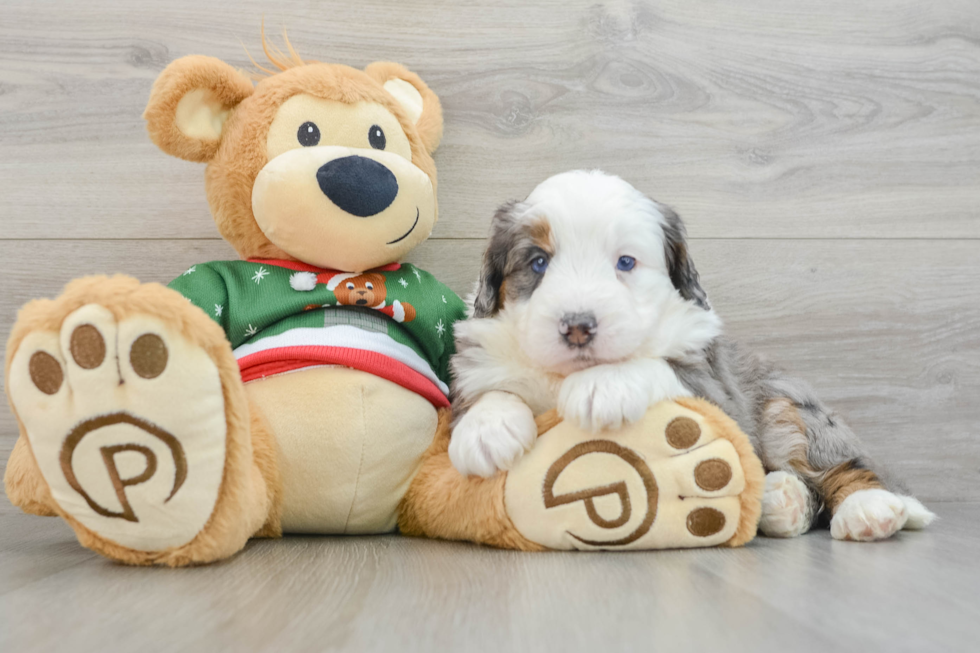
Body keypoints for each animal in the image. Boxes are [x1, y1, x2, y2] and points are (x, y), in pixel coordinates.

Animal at [450, 168, 936, 540]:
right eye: (538, 262)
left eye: (625, 262)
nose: (578, 326)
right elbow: (491, 388)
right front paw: (485, 431)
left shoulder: (712, 386)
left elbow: (659, 365)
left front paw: (601, 388)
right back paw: (783, 500)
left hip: (789, 407)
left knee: (844, 466)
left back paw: (868, 509)